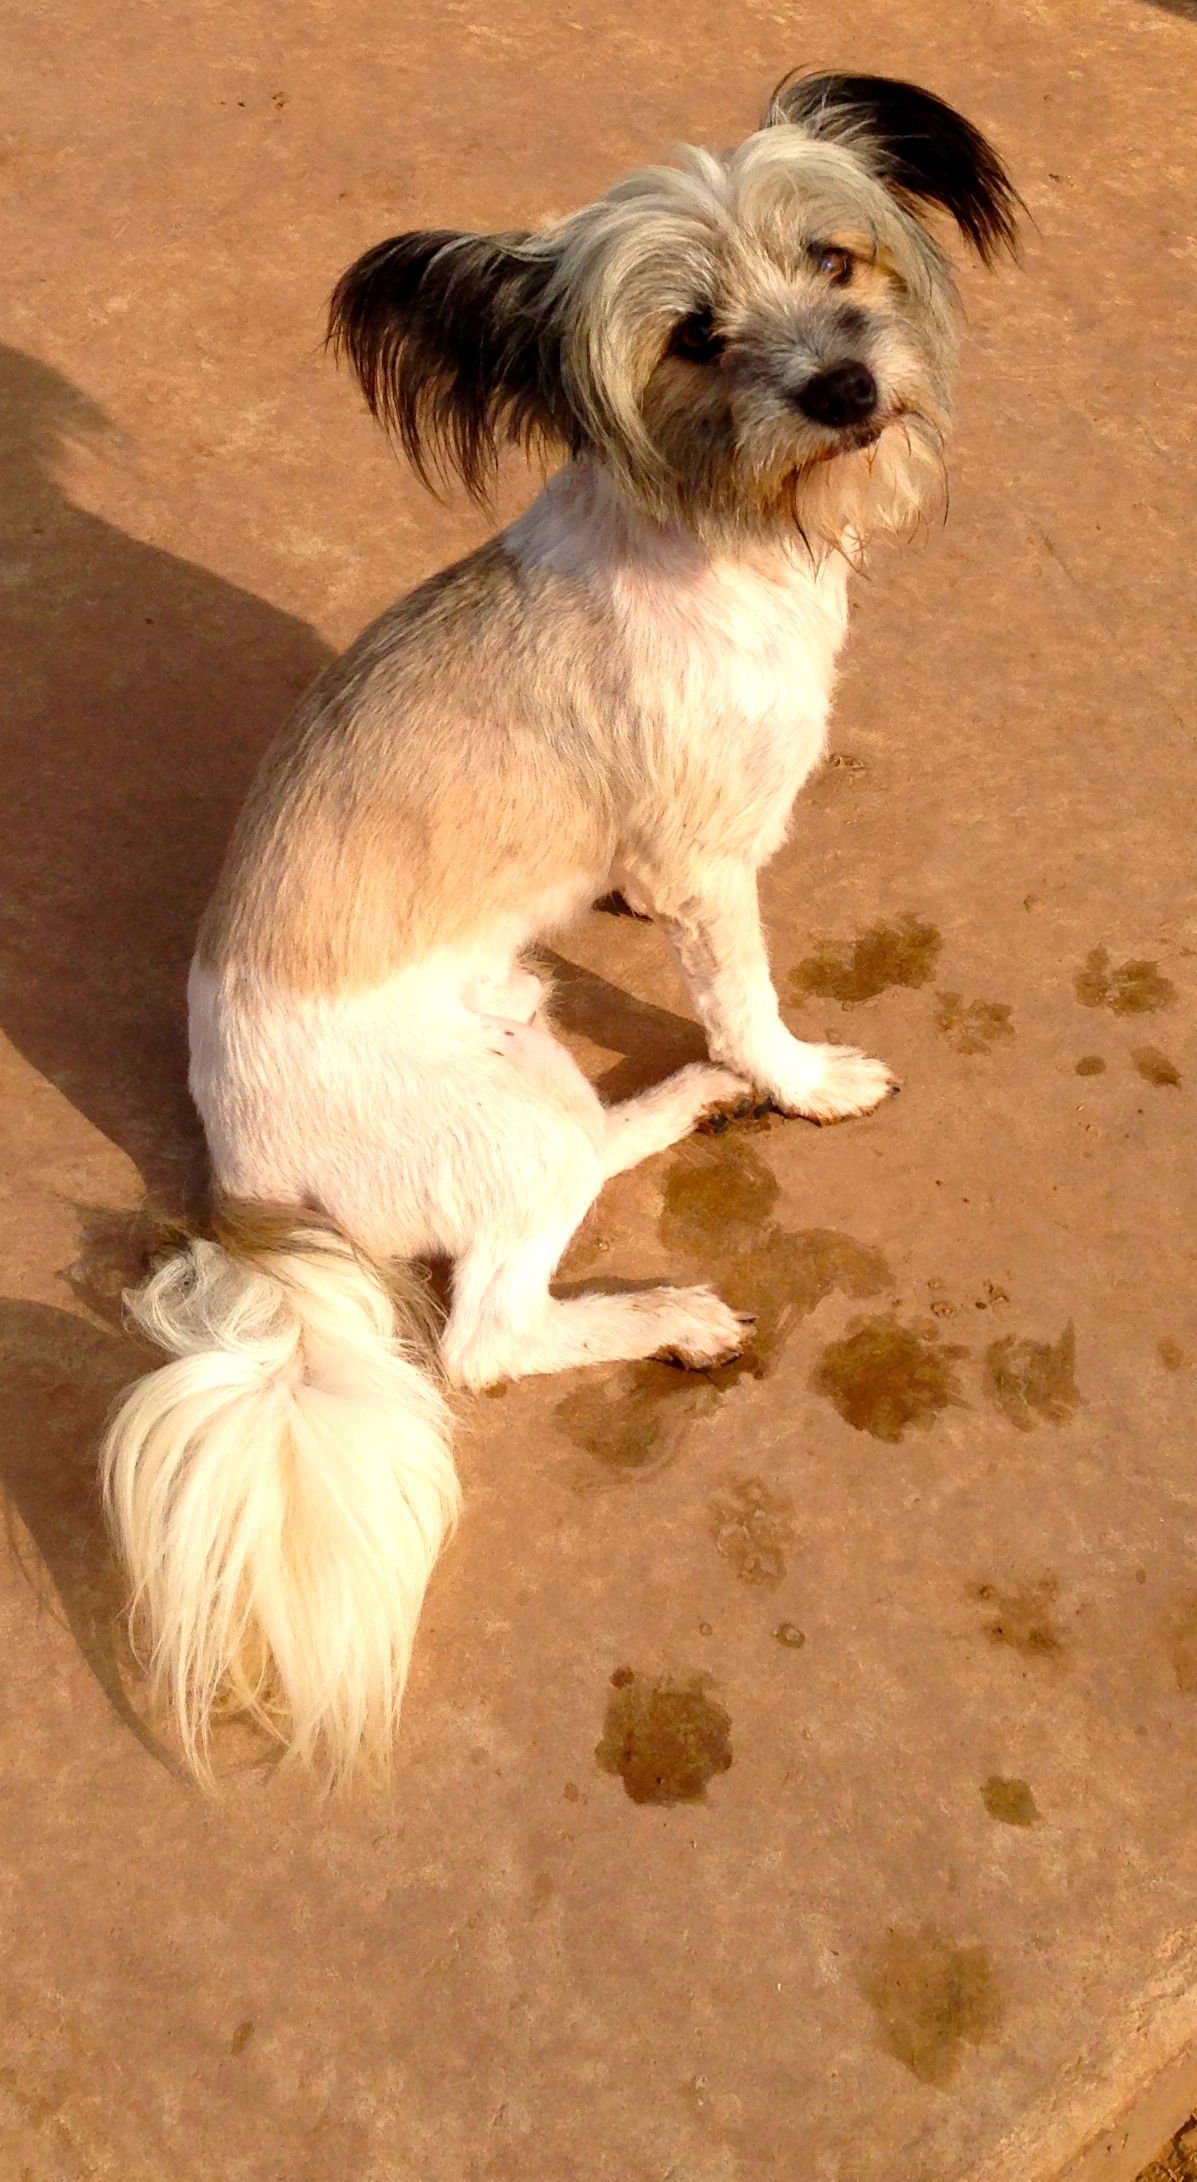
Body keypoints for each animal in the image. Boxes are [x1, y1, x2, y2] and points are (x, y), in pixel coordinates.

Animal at [105, 68, 1016, 1780]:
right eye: (692, 337)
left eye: (836, 258)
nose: (845, 389)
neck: (725, 526)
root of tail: (241, 1180)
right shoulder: (707, 862)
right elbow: (747, 994)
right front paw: (801, 1079)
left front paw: (740, 1076)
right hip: (504, 1125)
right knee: (487, 1336)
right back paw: (670, 1302)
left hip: (527, 1063)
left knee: (588, 1159)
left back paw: (679, 1106)